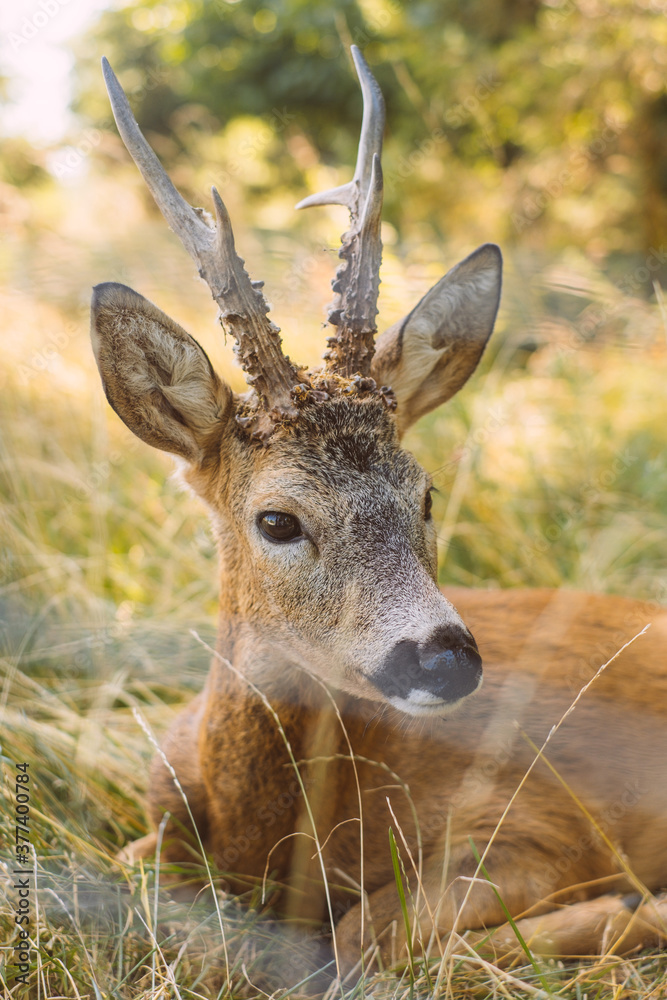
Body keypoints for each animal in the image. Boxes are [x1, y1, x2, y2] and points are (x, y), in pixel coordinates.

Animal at [94, 47, 667, 976]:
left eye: (424, 493)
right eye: (277, 520)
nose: (444, 658)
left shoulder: (544, 822)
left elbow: (367, 937)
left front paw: (620, 909)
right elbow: (135, 868)